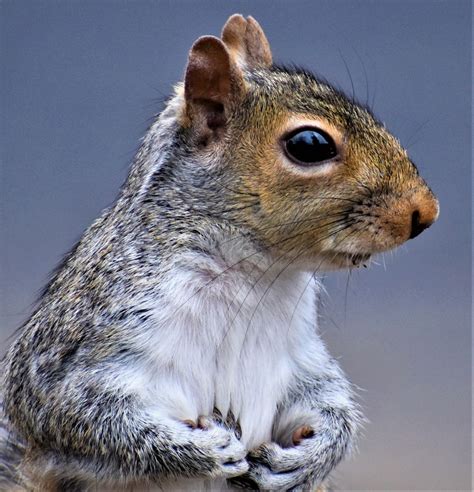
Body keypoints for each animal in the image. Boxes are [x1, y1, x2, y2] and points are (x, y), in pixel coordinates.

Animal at [0, 13, 438, 490]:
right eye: (309, 145)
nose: (425, 212)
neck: (252, 274)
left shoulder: (300, 356)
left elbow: (329, 397)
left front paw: (314, 454)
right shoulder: (79, 348)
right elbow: (73, 414)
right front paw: (198, 452)